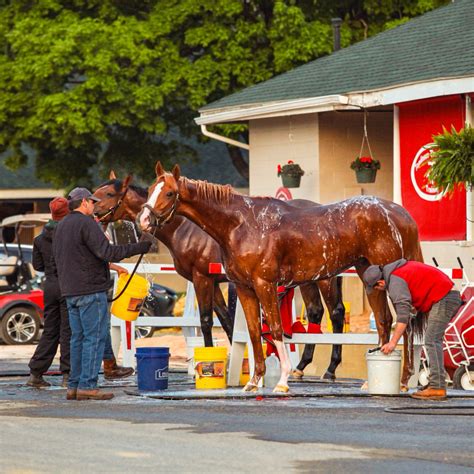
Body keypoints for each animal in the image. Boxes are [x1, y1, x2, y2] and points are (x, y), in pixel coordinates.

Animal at [92, 172, 346, 380]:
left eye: (109, 193)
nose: (93, 212)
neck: (185, 227)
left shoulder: (202, 278)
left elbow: (206, 321)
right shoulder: (214, 283)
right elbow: (226, 320)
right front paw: (242, 364)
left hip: (324, 279)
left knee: (335, 313)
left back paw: (330, 369)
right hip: (309, 280)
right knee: (315, 312)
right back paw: (302, 366)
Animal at [139, 163, 424, 392]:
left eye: (169, 192)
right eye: (151, 188)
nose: (144, 220)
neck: (240, 224)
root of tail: (399, 213)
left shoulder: (265, 285)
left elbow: (275, 329)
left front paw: (283, 381)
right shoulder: (244, 288)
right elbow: (255, 332)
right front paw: (254, 381)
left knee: (405, 323)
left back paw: (403, 381)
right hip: (368, 276)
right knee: (385, 321)